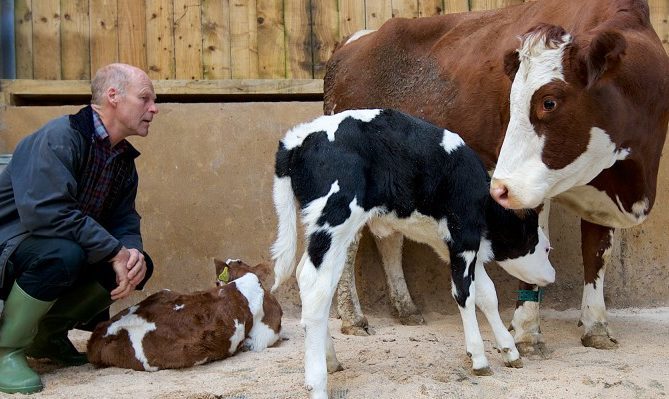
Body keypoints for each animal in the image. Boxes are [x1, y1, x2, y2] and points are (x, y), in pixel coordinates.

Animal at [268, 108, 556, 398]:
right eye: (545, 247)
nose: (552, 275)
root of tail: (297, 138)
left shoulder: (452, 244)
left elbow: (487, 293)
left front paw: (509, 350)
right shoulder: (464, 235)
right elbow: (465, 293)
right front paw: (479, 357)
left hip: (327, 232)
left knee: (311, 277)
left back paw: (331, 360)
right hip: (335, 218)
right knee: (315, 285)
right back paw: (317, 382)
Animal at [324, 0, 668, 352]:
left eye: (549, 102)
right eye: (511, 102)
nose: (497, 188)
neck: (629, 181)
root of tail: (353, 42)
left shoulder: (601, 189)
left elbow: (597, 254)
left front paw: (596, 326)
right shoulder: (526, 186)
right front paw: (528, 332)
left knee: (389, 237)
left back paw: (405, 308)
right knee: (349, 244)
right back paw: (353, 318)